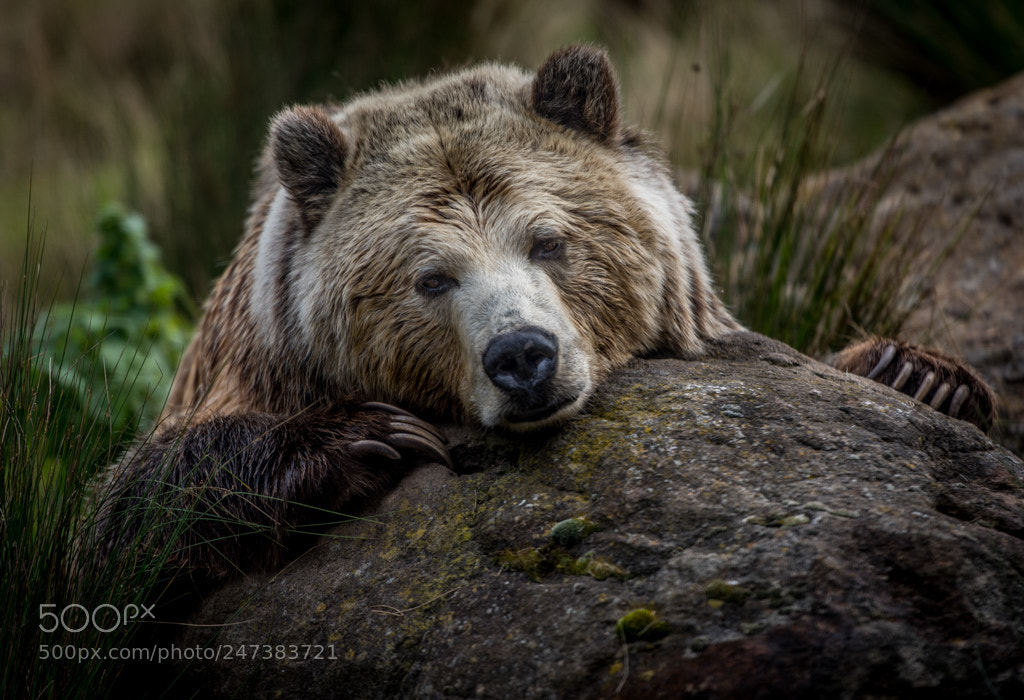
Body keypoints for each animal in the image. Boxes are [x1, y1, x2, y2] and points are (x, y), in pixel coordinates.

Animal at [95, 45, 995, 588]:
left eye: (549, 239)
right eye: (431, 278)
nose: (523, 355)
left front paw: (921, 374)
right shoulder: (245, 371)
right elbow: (129, 519)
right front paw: (371, 438)